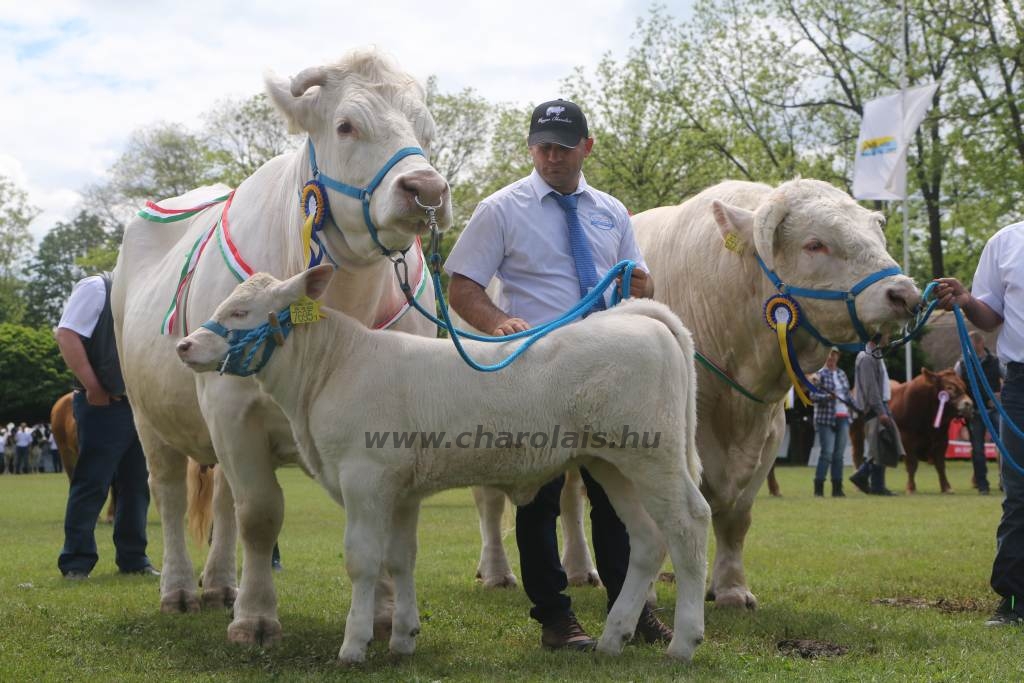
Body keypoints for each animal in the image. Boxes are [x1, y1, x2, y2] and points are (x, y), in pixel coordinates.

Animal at [110, 48, 450, 647]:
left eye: (427, 131)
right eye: (346, 125)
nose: (427, 189)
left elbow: (379, 525)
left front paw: (384, 617)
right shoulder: (229, 405)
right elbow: (261, 514)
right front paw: (255, 619)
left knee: (222, 498)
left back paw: (221, 585)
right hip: (148, 415)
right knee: (169, 493)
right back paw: (179, 590)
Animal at [176, 264, 712, 663]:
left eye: (239, 311)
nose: (184, 345)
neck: (335, 368)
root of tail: (638, 318)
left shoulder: (364, 477)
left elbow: (362, 560)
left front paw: (354, 646)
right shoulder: (401, 490)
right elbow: (399, 559)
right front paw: (402, 638)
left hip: (653, 454)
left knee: (689, 523)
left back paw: (684, 643)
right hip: (611, 463)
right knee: (648, 539)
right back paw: (612, 638)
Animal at [471, 178, 921, 610]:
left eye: (877, 235)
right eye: (815, 243)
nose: (906, 294)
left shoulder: (770, 432)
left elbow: (737, 518)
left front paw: (731, 589)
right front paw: (644, 595)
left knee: (569, 498)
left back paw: (581, 569)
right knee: (490, 501)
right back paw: (496, 572)